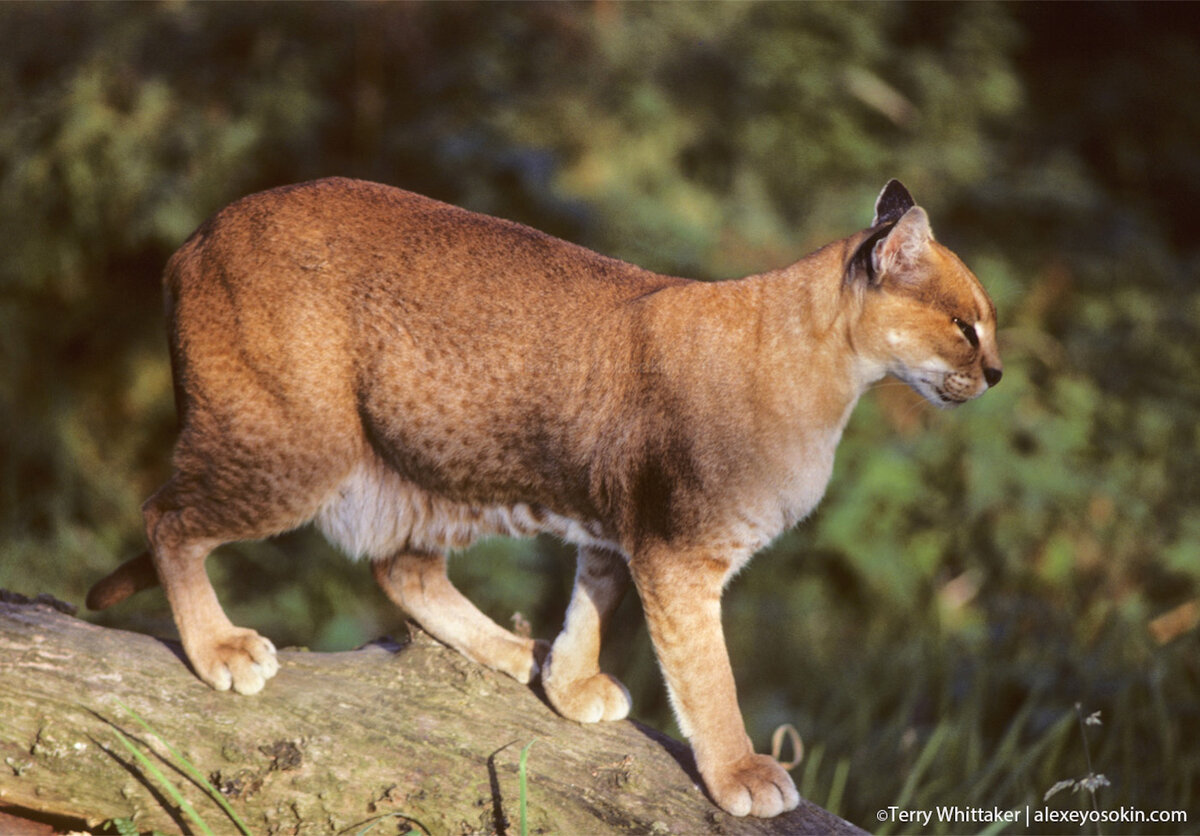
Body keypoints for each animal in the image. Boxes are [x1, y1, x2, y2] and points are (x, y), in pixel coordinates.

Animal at [88, 177, 998, 815]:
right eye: (965, 325)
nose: (994, 372)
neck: (835, 368)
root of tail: (199, 233)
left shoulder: (621, 525)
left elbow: (596, 597)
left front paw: (567, 680)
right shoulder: (680, 551)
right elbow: (709, 674)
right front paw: (739, 771)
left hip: (430, 469)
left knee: (398, 569)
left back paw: (506, 651)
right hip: (298, 450)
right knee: (165, 515)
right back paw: (218, 649)